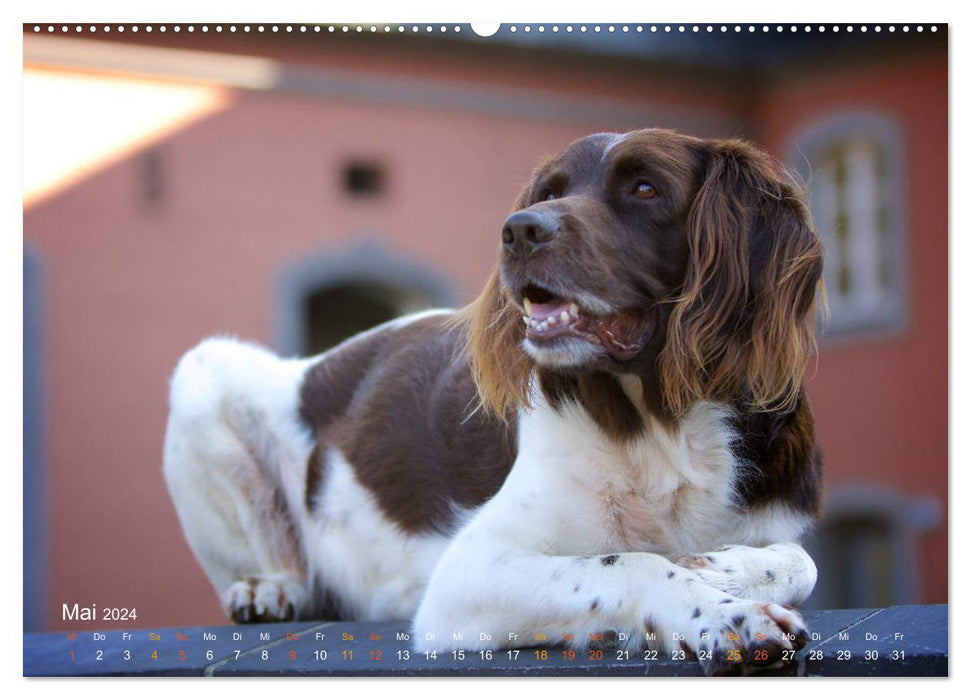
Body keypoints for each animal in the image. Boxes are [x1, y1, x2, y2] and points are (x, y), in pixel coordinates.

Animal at [163, 129, 824, 676]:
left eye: (645, 188)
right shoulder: (468, 574)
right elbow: (629, 562)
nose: (519, 230)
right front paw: (729, 618)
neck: (660, 423)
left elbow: (800, 561)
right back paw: (272, 589)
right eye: (551, 191)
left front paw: (727, 570)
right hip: (201, 372)